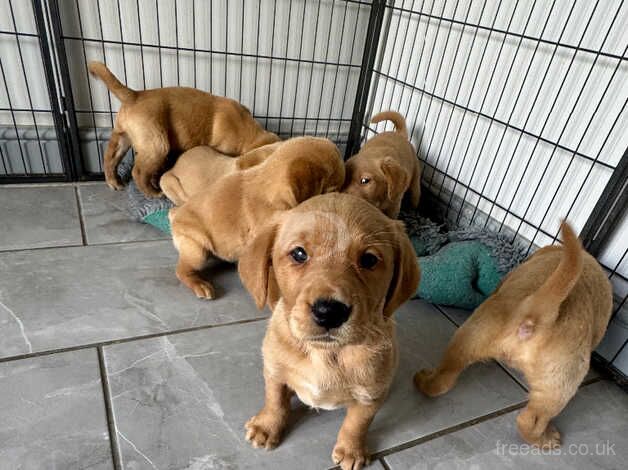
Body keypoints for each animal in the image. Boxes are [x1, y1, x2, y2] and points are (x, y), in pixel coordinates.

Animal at [87, 60, 278, 196]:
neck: (249, 130)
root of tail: (134, 95)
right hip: (157, 145)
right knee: (139, 171)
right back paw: (154, 193)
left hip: (122, 138)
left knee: (110, 158)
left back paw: (114, 182)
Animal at [240, 192, 422, 470]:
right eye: (299, 254)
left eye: (369, 259)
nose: (329, 312)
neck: (325, 353)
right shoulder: (274, 370)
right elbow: (275, 400)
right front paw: (267, 426)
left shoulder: (370, 396)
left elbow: (357, 423)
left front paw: (351, 451)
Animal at [414, 222, 612, 450]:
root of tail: (534, 313)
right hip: (564, 381)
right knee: (530, 420)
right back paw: (544, 439)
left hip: (470, 339)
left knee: (443, 379)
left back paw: (425, 381)